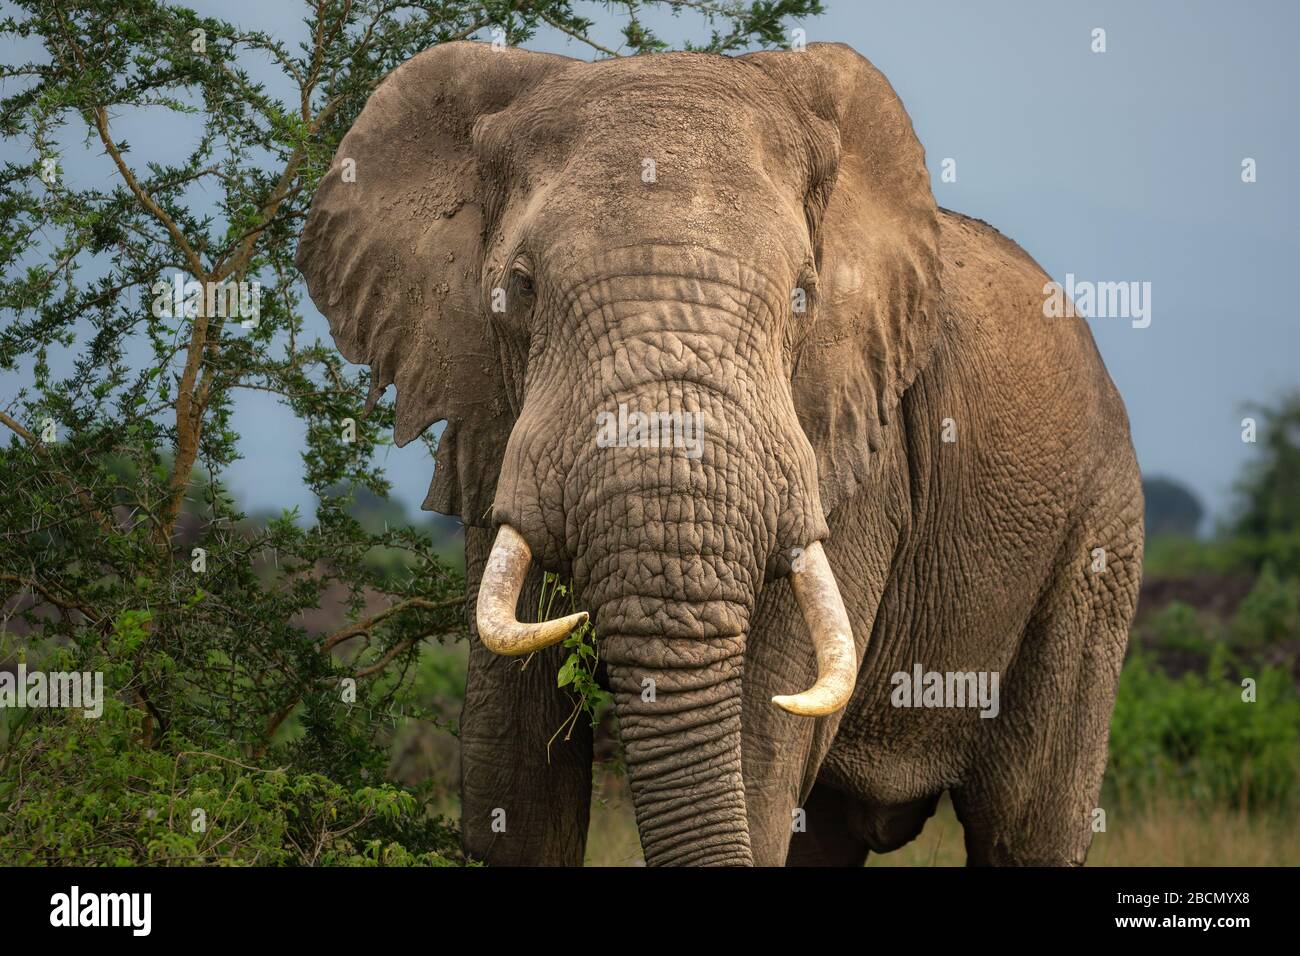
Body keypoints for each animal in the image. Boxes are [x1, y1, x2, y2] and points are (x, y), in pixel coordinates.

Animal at [292, 39, 1138, 868]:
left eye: (803, 295)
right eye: (521, 288)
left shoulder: (858, 459)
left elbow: (761, 738)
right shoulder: (497, 429)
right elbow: (513, 772)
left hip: (1097, 541)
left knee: (1024, 824)